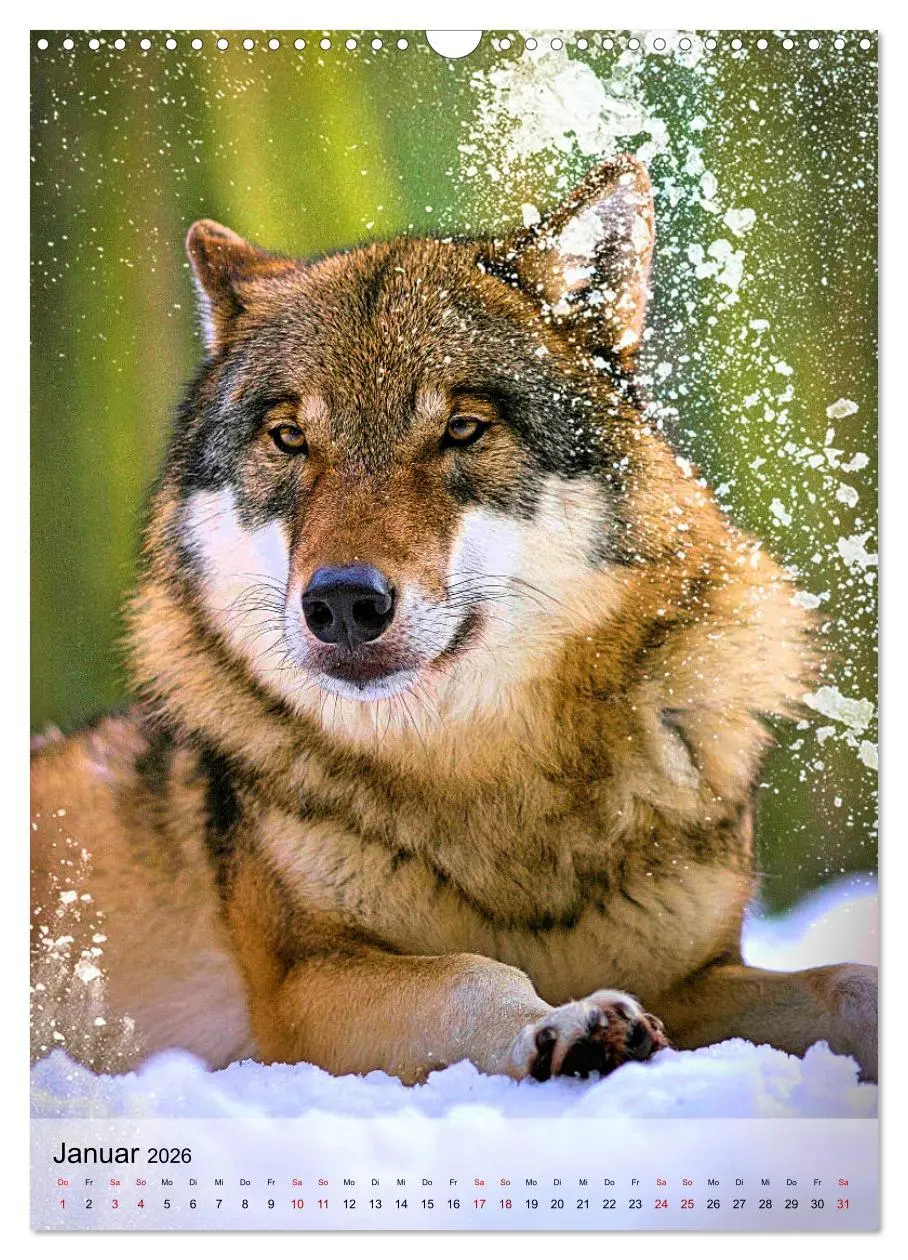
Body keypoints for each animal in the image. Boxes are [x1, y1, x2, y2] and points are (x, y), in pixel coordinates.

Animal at [31, 155, 877, 1084]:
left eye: (463, 429)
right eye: (290, 438)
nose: (343, 602)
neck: (486, 770)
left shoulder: (694, 977)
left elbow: (849, 982)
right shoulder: (304, 990)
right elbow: (478, 973)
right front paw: (571, 1022)